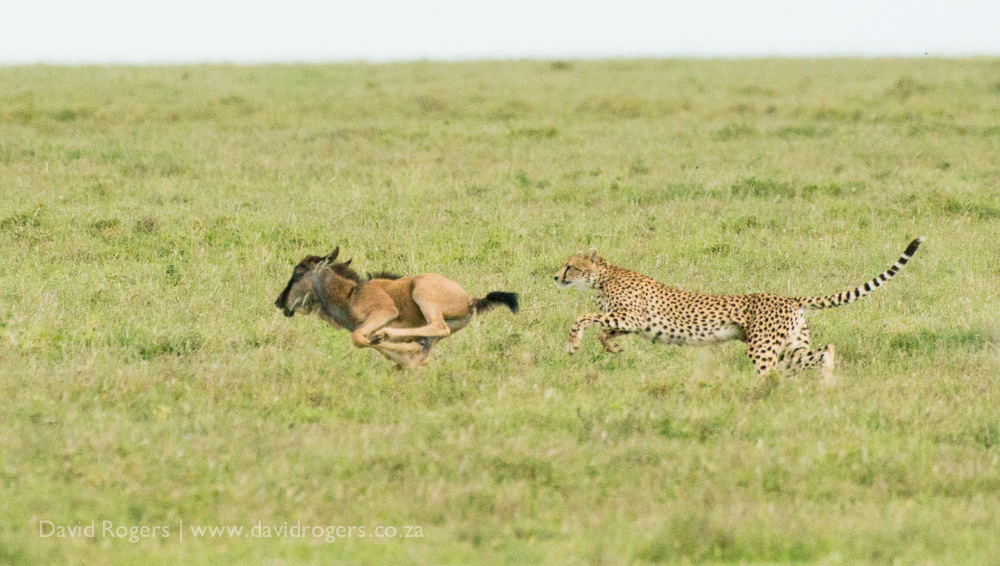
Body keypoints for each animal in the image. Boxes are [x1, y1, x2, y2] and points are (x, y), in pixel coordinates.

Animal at [554, 238, 924, 384]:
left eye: (570, 265)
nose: (555, 277)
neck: (604, 276)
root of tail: (789, 298)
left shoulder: (633, 317)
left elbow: (582, 318)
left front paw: (572, 345)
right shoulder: (631, 322)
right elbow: (603, 331)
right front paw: (613, 348)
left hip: (762, 348)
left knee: (768, 374)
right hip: (790, 346)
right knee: (825, 351)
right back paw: (827, 383)